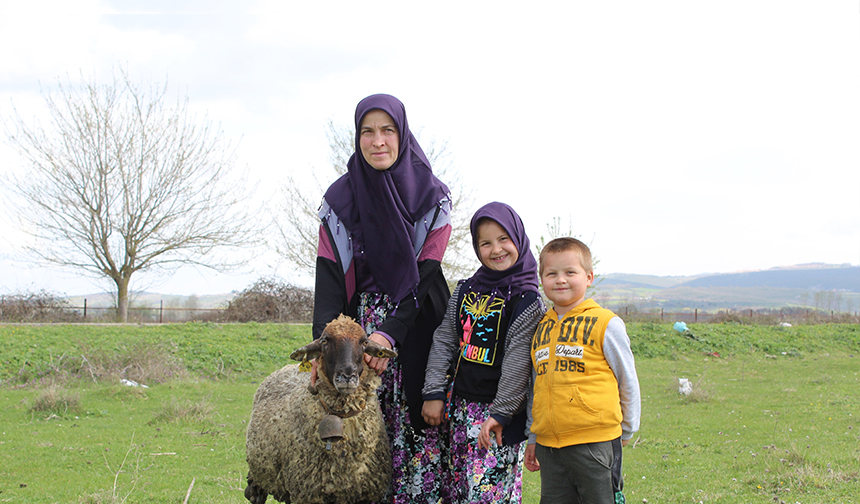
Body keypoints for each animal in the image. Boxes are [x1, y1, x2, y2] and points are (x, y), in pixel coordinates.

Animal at [244, 314, 398, 504]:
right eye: (325, 341)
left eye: (364, 342)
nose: (347, 376)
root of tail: (285, 368)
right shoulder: (307, 494)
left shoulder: (366, 495)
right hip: (260, 478)